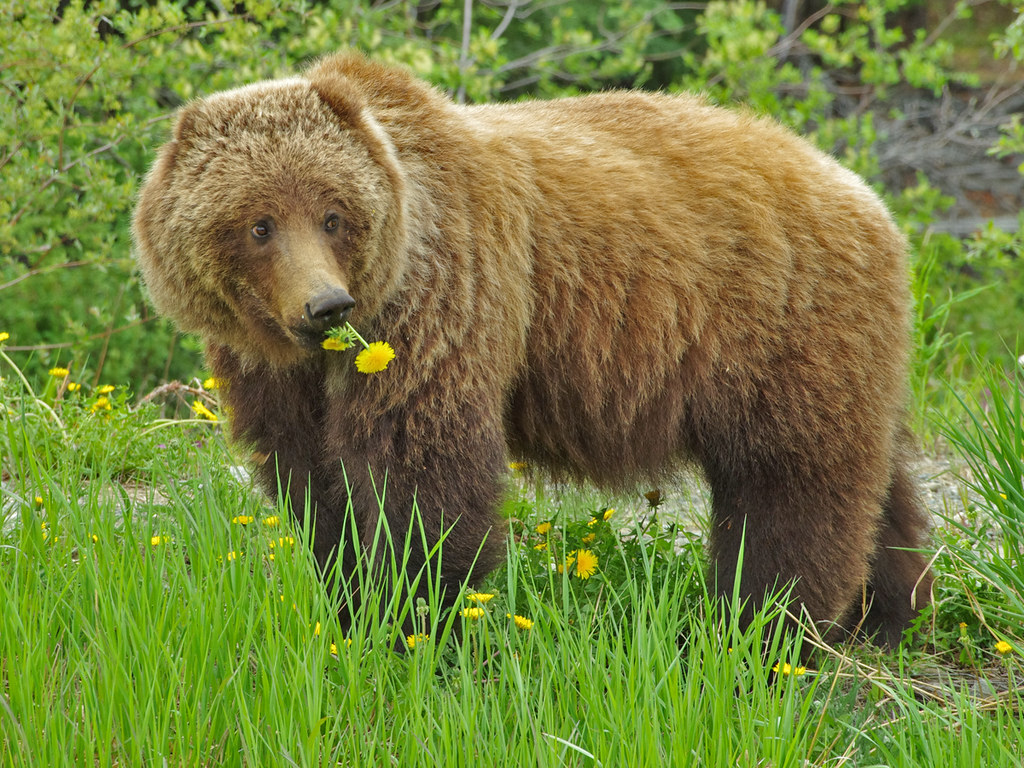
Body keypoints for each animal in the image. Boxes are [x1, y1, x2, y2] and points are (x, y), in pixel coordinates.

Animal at [132, 51, 934, 647]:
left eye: (333, 214)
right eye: (258, 224)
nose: (326, 305)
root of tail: (863, 192)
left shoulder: (442, 298)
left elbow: (423, 472)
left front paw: (412, 617)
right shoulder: (272, 369)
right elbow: (310, 480)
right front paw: (351, 597)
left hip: (777, 325)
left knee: (791, 483)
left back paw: (764, 627)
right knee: (872, 476)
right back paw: (887, 611)